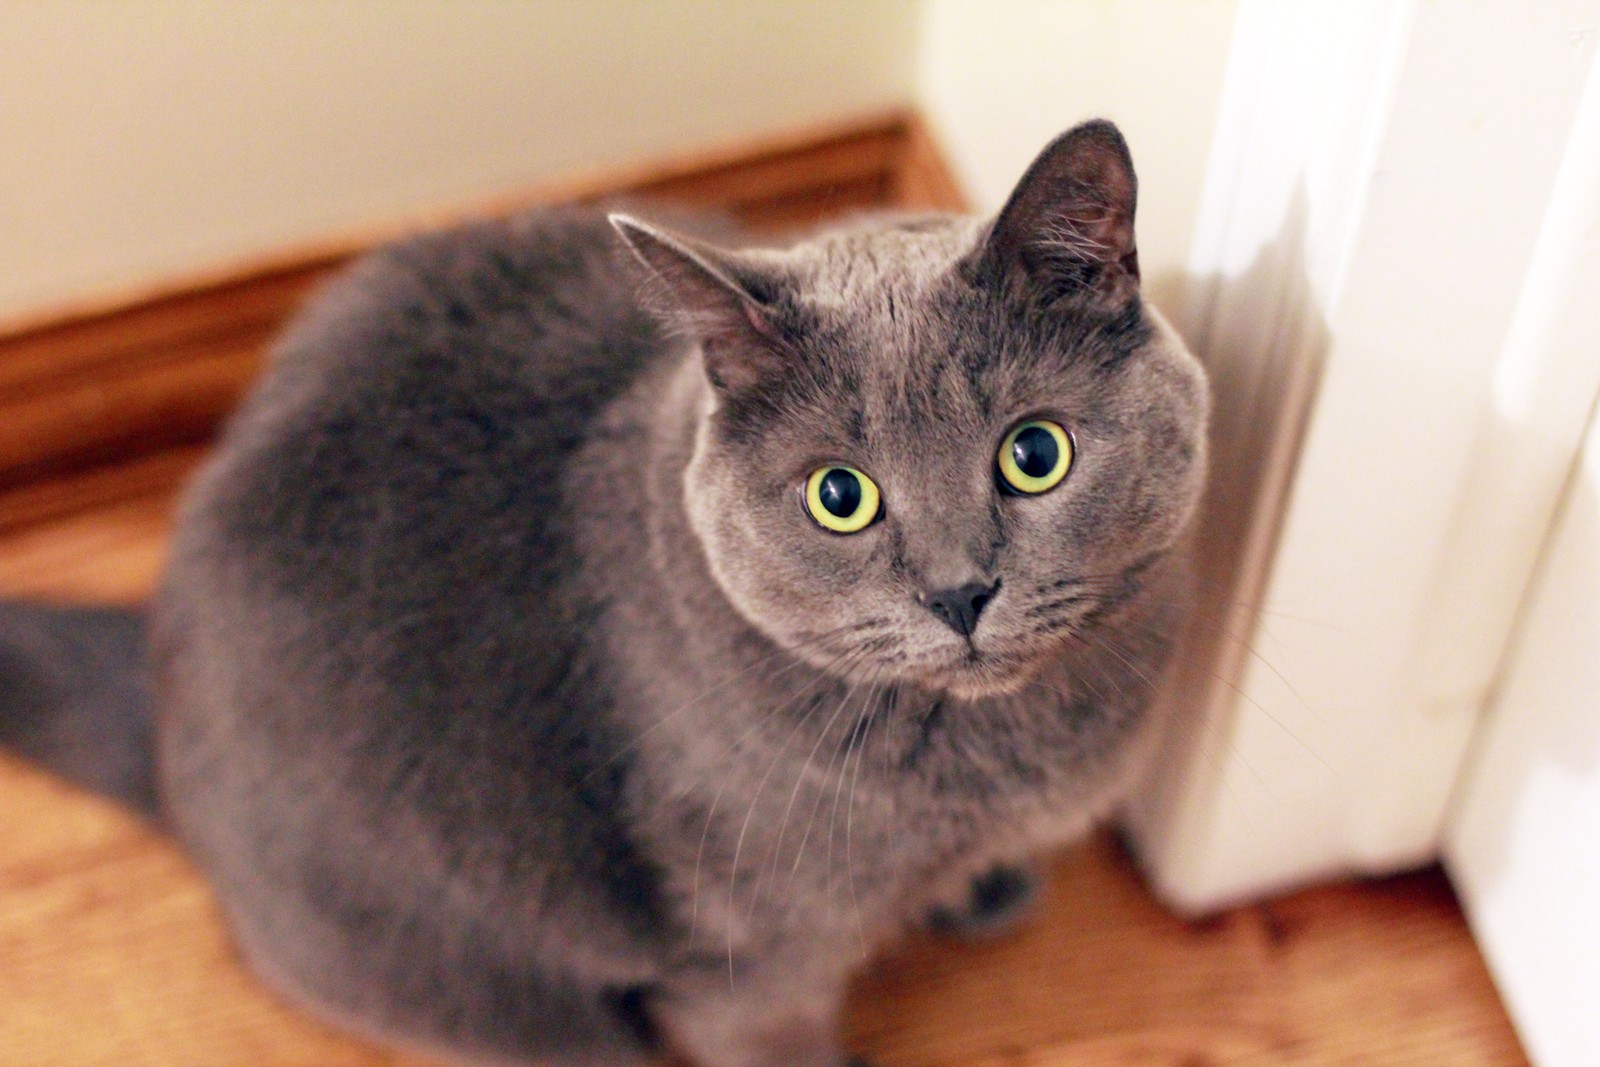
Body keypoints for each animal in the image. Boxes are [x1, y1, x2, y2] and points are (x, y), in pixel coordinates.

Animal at [0, 120, 1203, 1067]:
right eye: (840, 496)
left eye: (1035, 454)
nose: (960, 590)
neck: (995, 763)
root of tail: (161, 708)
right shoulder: (745, 967)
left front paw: (986, 892)